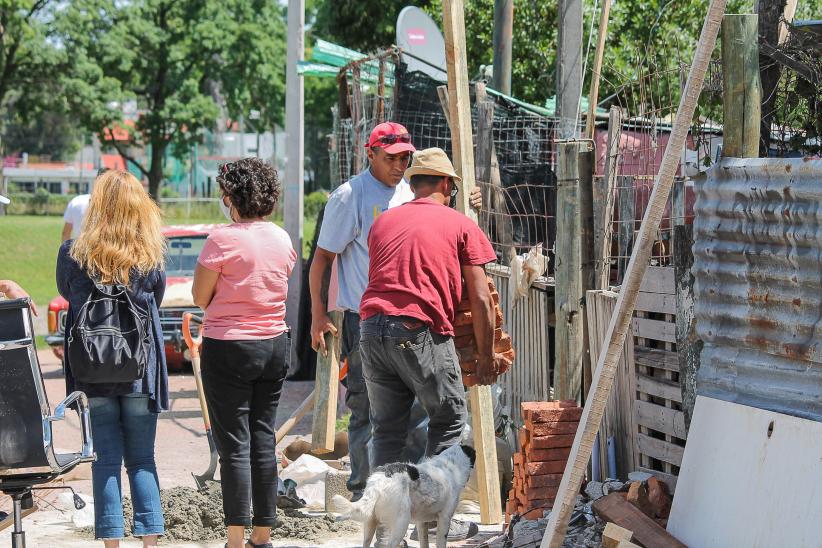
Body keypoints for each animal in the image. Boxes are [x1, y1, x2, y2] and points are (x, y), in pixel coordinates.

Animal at [334, 444, 476, 544]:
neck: (450, 465)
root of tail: (379, 480)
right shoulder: (444, 520)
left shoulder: (421, 523)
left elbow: (424, 542)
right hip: (401, 523)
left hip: (370, 524)